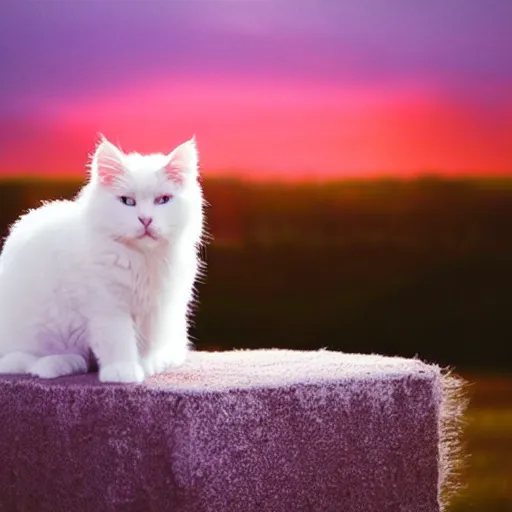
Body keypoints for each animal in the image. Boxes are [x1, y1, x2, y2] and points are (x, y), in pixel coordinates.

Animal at [0, 136, 203, 384]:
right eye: (127, 202)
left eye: (163, 200)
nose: (146, 219)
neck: (142, 259)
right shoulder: (107, 307)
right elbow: (119, 340)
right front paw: (123, 371)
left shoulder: (154, 310)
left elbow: (146, 344)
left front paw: (146, 367)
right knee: (20, 360)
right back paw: (61, 363)